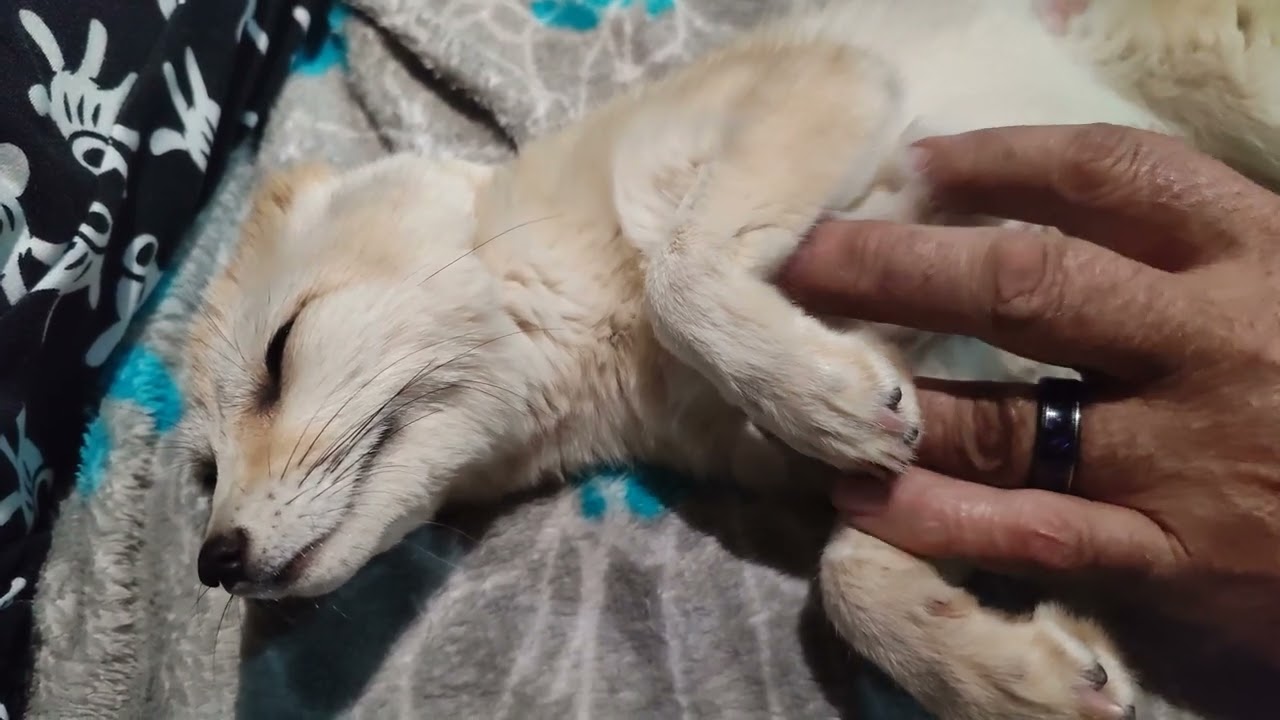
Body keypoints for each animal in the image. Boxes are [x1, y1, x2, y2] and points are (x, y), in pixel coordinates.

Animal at [175, 1, 1280, 718]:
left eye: (279, 354)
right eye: (210, 468)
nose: (212, 562)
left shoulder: (835, 92)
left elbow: (680, 270)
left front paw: (816, 392)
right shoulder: (975, 412)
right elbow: (852, 573)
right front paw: (999, 669)